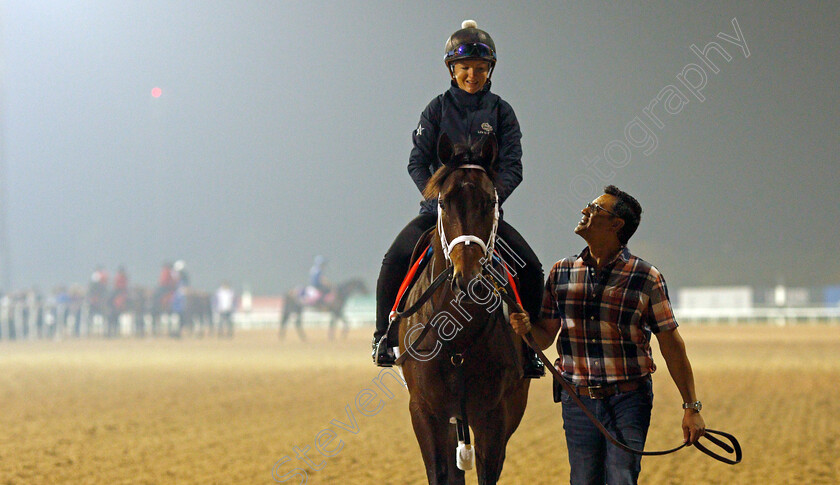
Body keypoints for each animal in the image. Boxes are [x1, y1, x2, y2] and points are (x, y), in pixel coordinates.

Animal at [398, 133, 528, 484]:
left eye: (490, 202)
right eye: (443, 203)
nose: (469, 281)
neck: (458, 336)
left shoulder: (495, 416)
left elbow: (487, 471)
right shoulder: (425, 412)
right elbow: (440, 472)